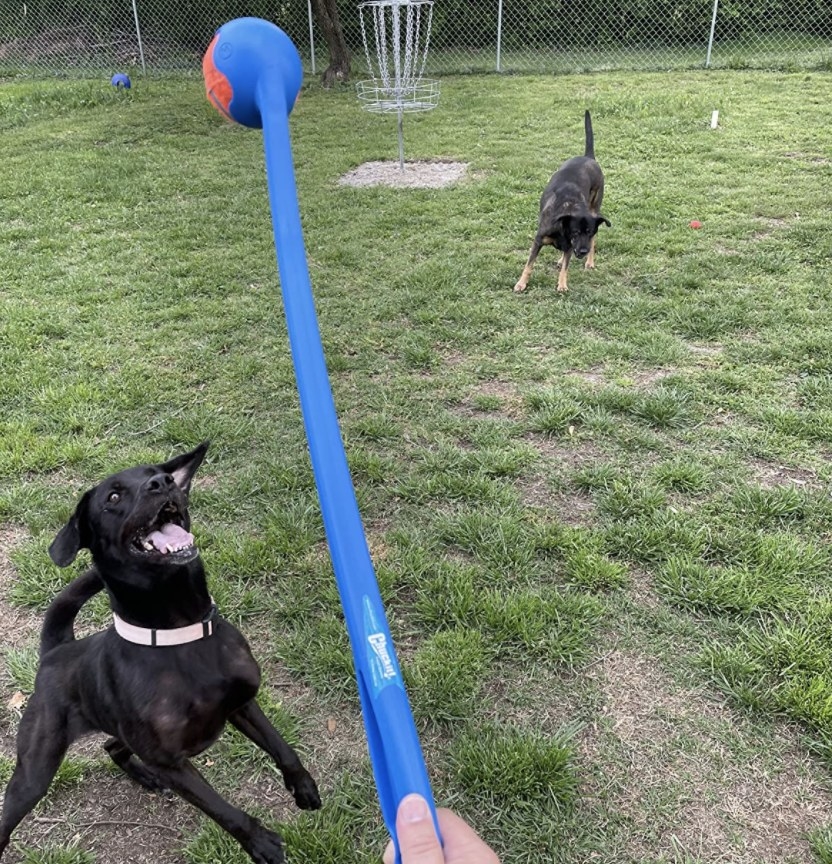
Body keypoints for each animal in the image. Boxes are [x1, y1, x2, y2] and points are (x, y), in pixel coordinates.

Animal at [0, 446, 320, 864]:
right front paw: (261, 842)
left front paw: (303, 786)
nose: (163, 483)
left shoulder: (241, 704)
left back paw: (144, 777)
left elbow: (282, 747)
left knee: (111, 745)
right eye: (113, 496)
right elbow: (221, 809)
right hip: (36, 770)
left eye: (158, 473)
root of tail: (57, 650)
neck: (180, 636)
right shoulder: (170, 761)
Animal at [512, 109, 612, 294]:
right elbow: (529, 265)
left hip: (595, 205)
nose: (583, 251)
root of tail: (588, 157)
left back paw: (589, 262)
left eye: (589, 232)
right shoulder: (538, 241)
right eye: (575, 232)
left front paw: (562, 284)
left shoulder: (572, 246)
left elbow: (566, 265)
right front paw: (521, 283)